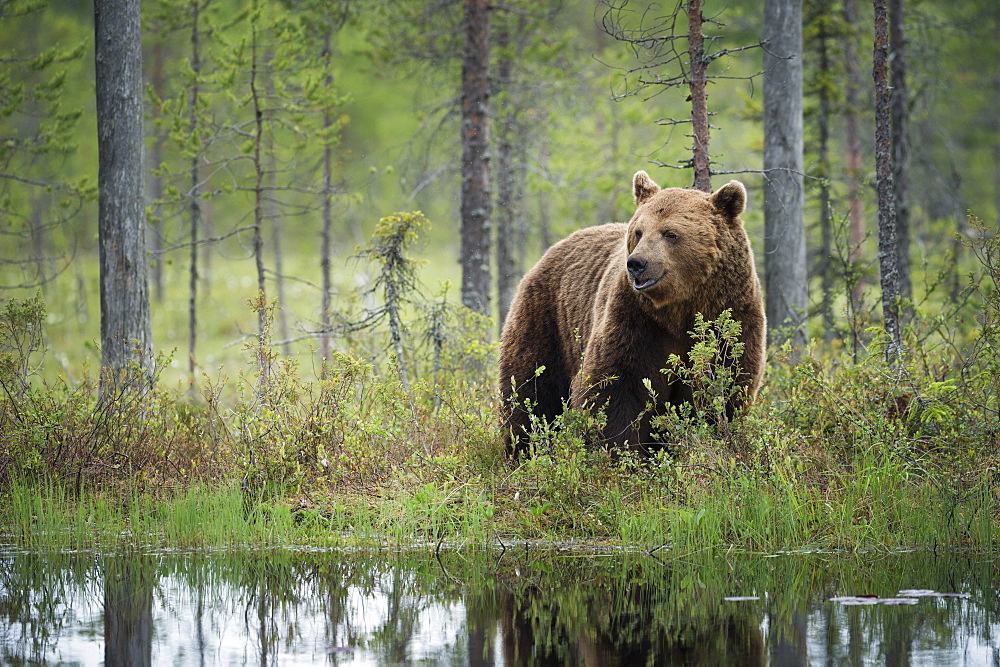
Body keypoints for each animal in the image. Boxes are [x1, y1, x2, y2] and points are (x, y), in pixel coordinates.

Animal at [500, 170, 764, 456]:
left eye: (670, 234)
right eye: (639, 231)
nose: (637, 263)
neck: (680, 307)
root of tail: (555, 247)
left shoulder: (731, 317)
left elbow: (724, 385)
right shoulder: (635, 320)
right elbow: (615, 388)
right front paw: (619, 454)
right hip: (549, 320)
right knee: (531, 388)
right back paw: (522, 449)